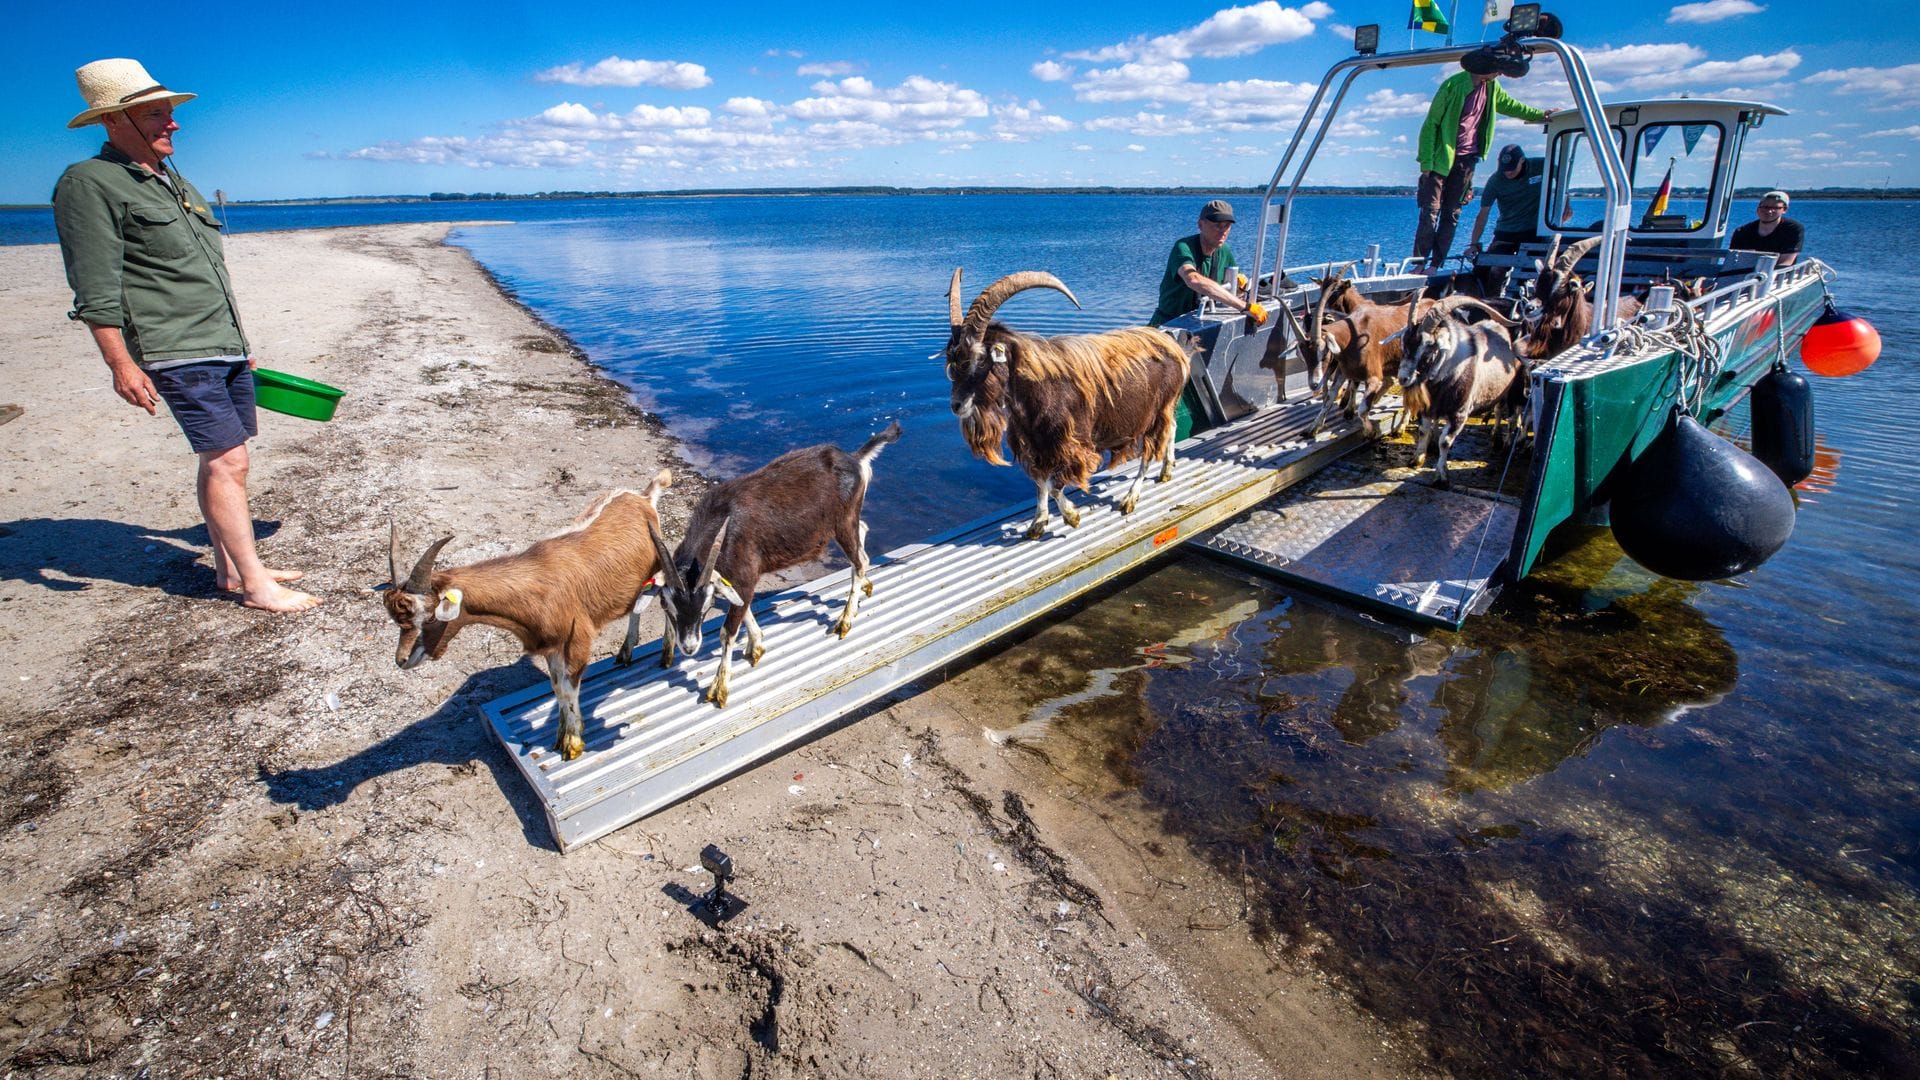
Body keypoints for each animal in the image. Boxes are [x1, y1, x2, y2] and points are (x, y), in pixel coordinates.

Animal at [383, 471, 673, 761]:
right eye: (397, 622)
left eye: (430, 618)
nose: (402, 660)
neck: (535, 586)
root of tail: (643, 497)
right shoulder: (551, 646)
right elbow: (557, 687)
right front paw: (560, 734)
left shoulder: (577, 641)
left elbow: (569, 687)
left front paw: (573, 743)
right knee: (636, 607)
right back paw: (626, 652)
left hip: (660, 569)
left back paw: (666, 656)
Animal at [655, 422, 902, 710]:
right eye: (668, 607)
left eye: (705, 607)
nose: (689, 647)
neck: (723, 522)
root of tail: (855, 458)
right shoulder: (734, 578)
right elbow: (743, 606)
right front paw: (756, 646)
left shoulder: (745, 573)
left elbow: (728, 631)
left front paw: (719, 688)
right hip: (844, 522)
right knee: (862, 535)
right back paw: (865, 587)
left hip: (843, 521)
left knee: (860, 560)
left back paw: (844, 621)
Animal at [944, 269, 1188, 539]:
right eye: (953, 360)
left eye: (980, 359)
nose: (957, 405)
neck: (1040, 391)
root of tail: (1173, 346)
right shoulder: (1035, 445)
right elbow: (1040, 483)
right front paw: (1037, 524)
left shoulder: (1071, 446)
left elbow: (1054, 486)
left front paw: (1072, 516)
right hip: (1165, 409)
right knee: (1172, 428)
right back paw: (1167, 470)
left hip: (1156, 411)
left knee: (1149, 453)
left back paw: (1130, 499)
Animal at [1397, 296, 1529, 488]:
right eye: (1404, 342)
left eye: (1429, 346)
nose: (1403, 378)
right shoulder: (1428, 408)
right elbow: (1423, 431)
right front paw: (1417, 459)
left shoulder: (1459, 413)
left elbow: (1445, 442)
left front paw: (1441, 477)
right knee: (1498, 411)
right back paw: (1496, 438)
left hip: (1511, 391)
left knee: (1509, 416)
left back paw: (1504, 445)